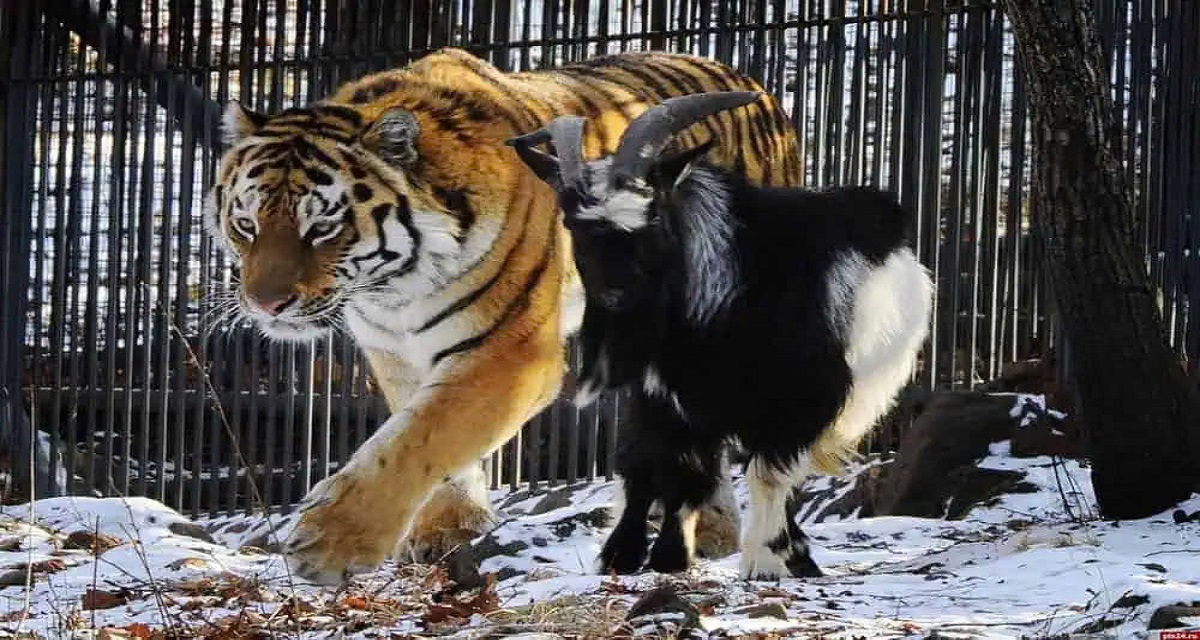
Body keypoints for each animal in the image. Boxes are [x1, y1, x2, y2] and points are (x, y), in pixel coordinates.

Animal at [206, 47, 806, 581]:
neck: (395, 289)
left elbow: (425, 433)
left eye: (323, 228)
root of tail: (757, 90)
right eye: (246, 224)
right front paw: (448, 529)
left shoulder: (511, 351)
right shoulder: (395, 351)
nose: (264, 304)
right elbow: (417, 431)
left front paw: (331, 541)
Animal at [506, 92, 936, 581]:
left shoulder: (799, 403)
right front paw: (637, 555)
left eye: (654, 215)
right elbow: (655, 470)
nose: (617, 296)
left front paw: (763, 560)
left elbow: (763, 476)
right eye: (573, 224)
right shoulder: (666, 400)